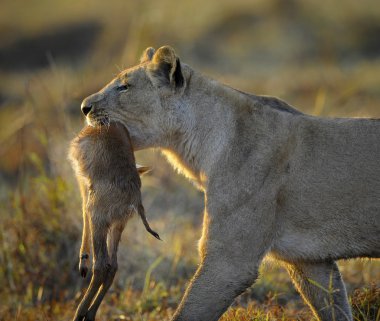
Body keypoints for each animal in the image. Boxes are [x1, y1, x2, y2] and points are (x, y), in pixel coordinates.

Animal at [69, 122, 160, 320]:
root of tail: (135, 199)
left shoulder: (82, 183)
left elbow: (83, 211)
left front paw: (83, 261)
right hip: (118, 226)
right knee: (113, 266)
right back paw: (91, 313)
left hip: (100, 221)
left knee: (102, 265)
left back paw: (80, 313)